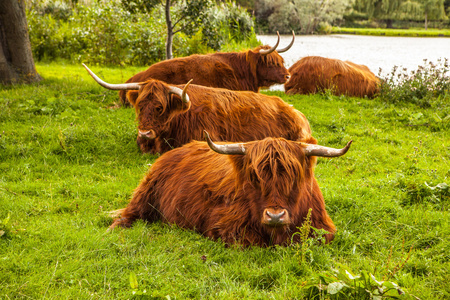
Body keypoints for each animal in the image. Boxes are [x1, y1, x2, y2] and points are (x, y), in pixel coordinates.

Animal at [109, 131, 352, 246]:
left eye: (294, 177)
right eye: (254, 177)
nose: (275, 215)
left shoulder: (323, 228)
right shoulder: (225, 227)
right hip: (146, 192)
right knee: (131, 213)